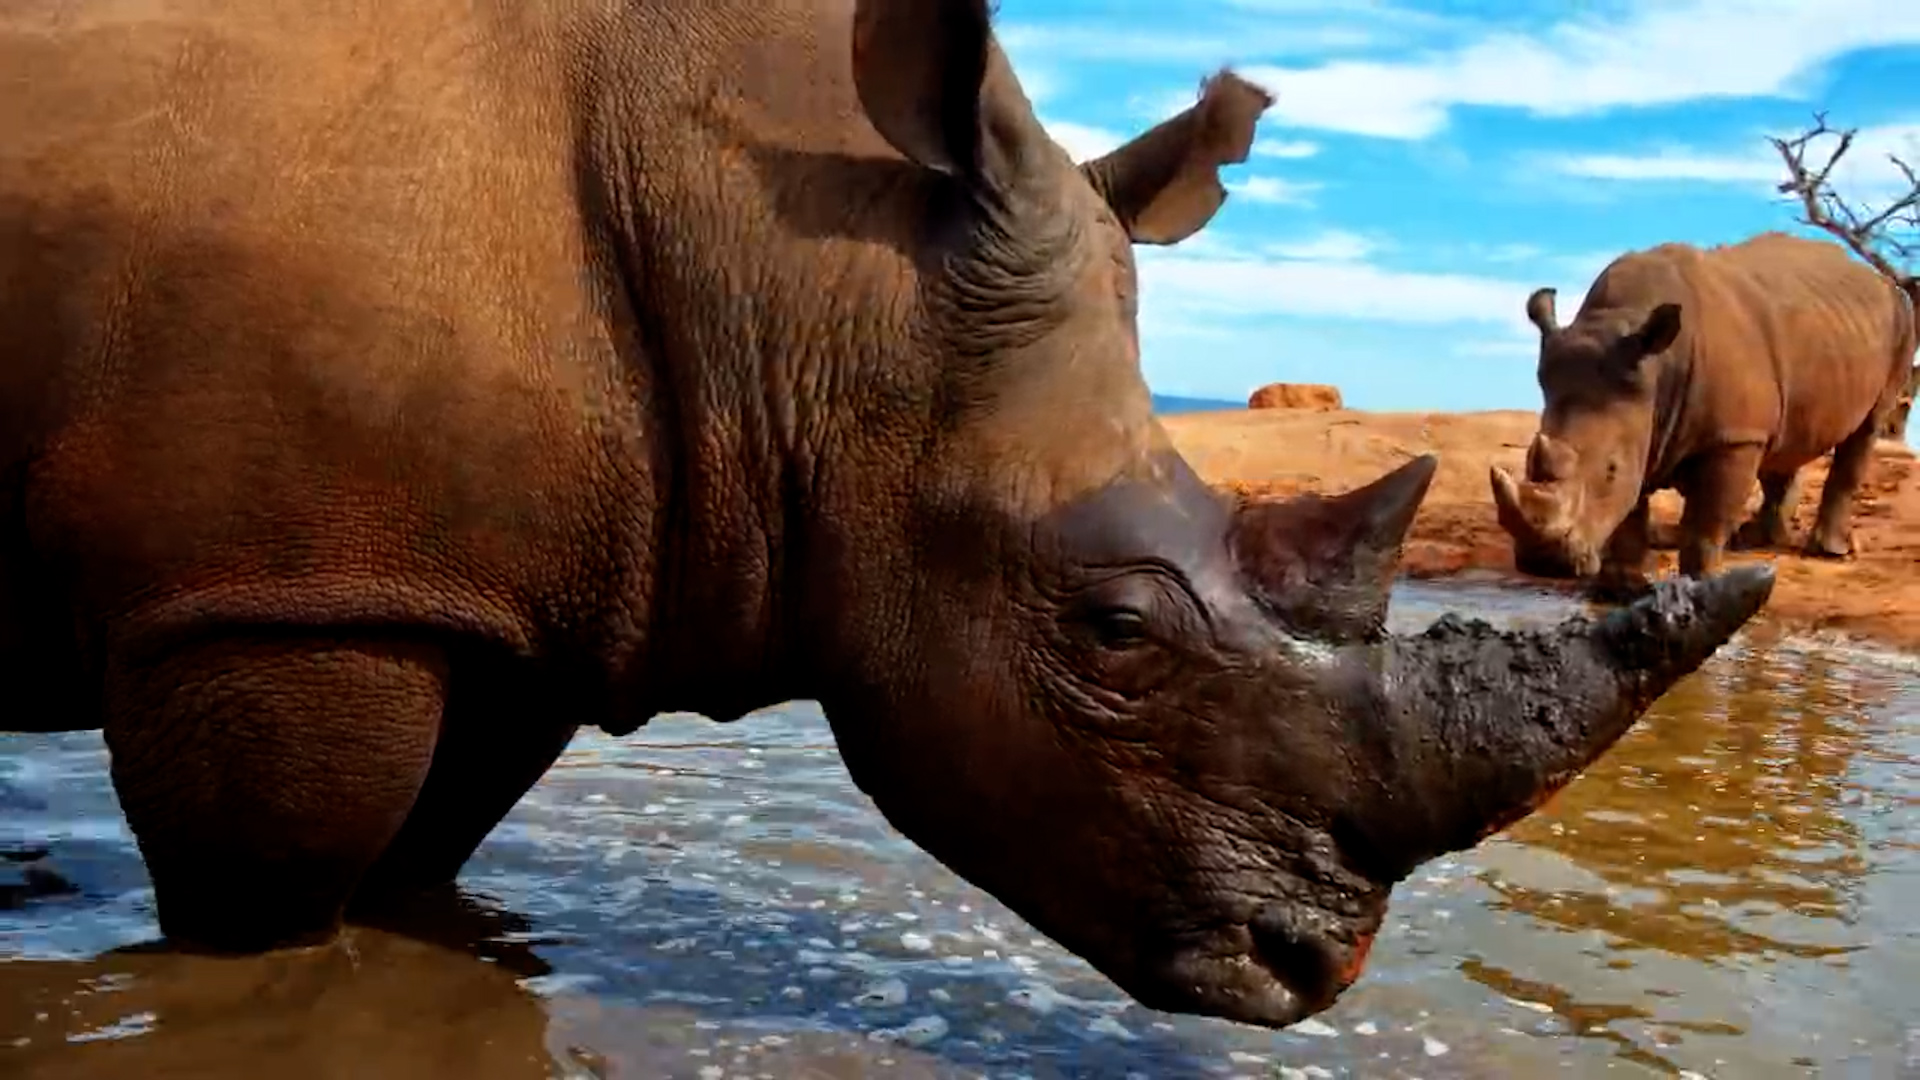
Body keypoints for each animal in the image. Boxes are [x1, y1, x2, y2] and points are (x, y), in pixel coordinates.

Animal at [0, 0, 1772, 1028]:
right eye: (1116, 632)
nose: (1314, 968)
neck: (796, 273)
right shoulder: (284, 593)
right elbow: (276, 905)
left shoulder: (491, 593)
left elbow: (426, 837)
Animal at [1493, 232, 1917, 590]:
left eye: (1610, 470)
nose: (1543, 563)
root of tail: (1877, 278)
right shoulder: (1640, 420)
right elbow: (1631, 512)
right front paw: (1621, 588)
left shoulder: (1731, 437)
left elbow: (1705, 524)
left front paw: (1703, 586)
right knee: (1784, 438)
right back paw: (1757, 540)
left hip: (1903, 317)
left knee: (1866, 429)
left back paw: (1828, 551)